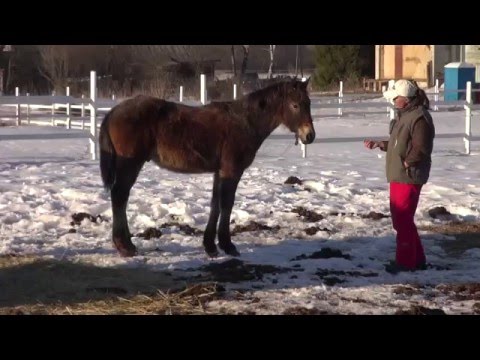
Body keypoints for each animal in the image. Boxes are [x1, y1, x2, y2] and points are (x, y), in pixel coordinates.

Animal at [98, 79, 316, 258]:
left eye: (308, 103)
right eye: (295, 105)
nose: (309, 136)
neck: (244, 122)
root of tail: (114, 111)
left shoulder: (219, 172)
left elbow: (215, 205)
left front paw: (210, 246)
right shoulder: (231, 172)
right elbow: (227, 205)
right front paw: (228, 246)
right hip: (130, 164)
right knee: (120, 196)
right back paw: (124, 246)